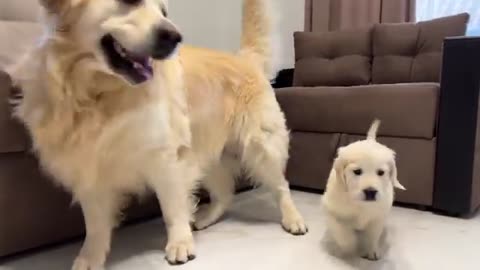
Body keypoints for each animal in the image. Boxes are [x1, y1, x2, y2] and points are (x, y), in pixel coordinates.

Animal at [9, 0, 306, 268]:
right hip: (203, 153)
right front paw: (89, 258)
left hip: (261, 146)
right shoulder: (90, 173)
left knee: (281, 186)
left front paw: (180, 244)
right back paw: (207, 218)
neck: (97, 95)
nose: (175, 37)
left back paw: (293, 220)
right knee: (225, 190)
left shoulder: (165, 159)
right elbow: (94, 226)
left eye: (164, 11)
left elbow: (172, 207)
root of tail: (243, 57)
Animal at [322, 120, 404, 260]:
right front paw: (350, 248)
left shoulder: (378, 216)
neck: (359, 204)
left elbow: (373, 235)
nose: (370, 192)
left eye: (381, 172)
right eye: (357, 171)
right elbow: (343, 232)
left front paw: (371, 251)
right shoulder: (331, 210)